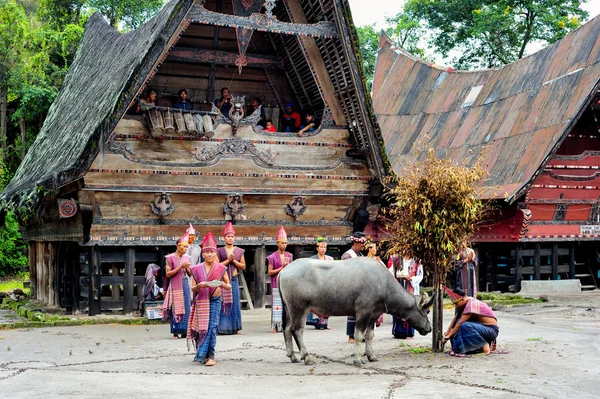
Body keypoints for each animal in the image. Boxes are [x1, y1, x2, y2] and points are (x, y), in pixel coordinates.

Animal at [278, 258, 434, 368]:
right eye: (427, 310)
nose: (429, 328)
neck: (384, 285)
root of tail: (284, 271)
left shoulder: (373, 315)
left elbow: (370, 336)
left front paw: (371, 356)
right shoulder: (363, 313)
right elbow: (359, 336)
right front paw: (358, 359)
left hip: (289, 309)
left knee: (286, 329)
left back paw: (292, 356)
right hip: (299, 308)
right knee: (297, 330)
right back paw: (307, 357)